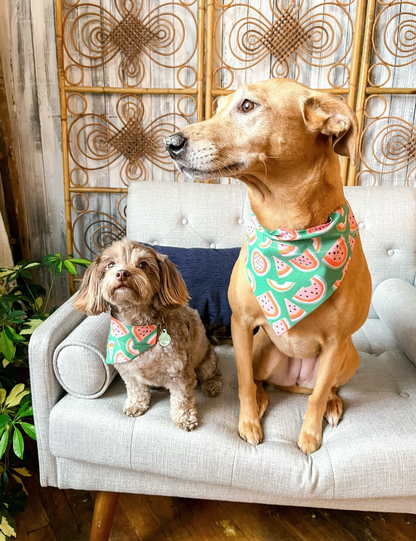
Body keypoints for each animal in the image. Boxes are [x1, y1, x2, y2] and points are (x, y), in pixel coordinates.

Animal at [75, 238, 224, 432]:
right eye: (111, 264)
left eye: (143, 264)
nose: (122, 273)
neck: (137, 328)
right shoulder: (128, 372)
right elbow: (137, 390)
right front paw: (136, 404)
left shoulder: (180, 374)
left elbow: (182, 399)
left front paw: (184, 418)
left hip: (206, 363)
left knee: (214, 374)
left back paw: (212, 385)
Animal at [164, 78, 372, 454]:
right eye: (217, 109)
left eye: (248, 106)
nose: (171, 143)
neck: (288, 226)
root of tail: (294, 383)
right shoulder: (242, 324)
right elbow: (245, 381)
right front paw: (248, 422)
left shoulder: (336, 343)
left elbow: (318, 397)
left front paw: (310, 434)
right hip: (263, 347)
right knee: (260, 380)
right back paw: (263, 399)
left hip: (349, 358)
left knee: (325, 388)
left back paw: (333, 403)